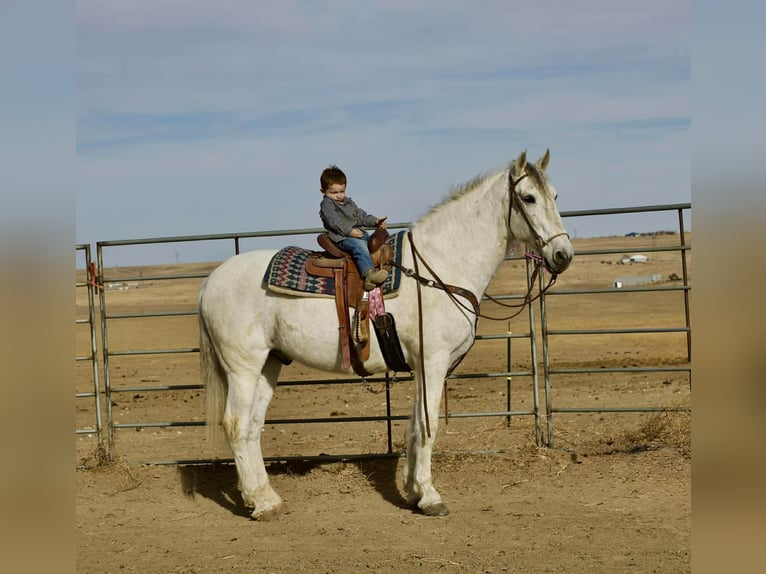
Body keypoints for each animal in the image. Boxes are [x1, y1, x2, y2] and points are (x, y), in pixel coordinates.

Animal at [198, 149, 574, 520]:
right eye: (528, 197)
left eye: (555, 196)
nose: (563, 255)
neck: (439, 267)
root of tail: (211, 282)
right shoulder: (433, 362)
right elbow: (429, 426)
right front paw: (431, 497)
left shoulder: (423, 366)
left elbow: (415, 426)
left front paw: (413, 491)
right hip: (243, 368)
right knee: (236, 424)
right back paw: (260, 504)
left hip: (269, 364)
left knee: (252, 427)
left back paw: (266, 498)